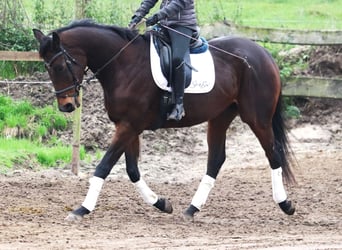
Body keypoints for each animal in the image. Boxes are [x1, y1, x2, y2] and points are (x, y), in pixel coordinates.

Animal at [32, 20, 296, 222]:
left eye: (58, 66)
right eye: (47, 67)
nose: (66, 106)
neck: (123, 65)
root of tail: (263, 53)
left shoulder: (129, 126)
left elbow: (103, 167)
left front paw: (81, 210)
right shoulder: (127, 126)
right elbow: (132, 170)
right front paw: (161, 203)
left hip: (257, 119)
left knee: (273, 154)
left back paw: (285, 205)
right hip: (220, 117)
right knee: (216, 160)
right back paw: (191, 209)